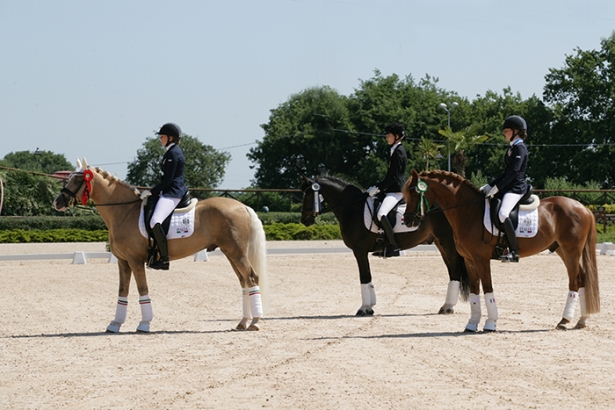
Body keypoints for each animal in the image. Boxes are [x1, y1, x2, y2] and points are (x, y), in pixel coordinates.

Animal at [50, 160, 268, 334]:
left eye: (77, 180)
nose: (57, 202)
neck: (124, 211)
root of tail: (242, 206)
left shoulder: (135, 260)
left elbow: (142, 289)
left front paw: (144, 324)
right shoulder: (122, 262)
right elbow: (123, 291)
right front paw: (115, 324)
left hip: (236, 253)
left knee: (251, 278)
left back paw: (255, 323)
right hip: (230, 253)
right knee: (243, 281)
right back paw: (243, 322)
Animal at [300, 175, 470, 316]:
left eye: (308, 195)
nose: (304, 220)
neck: (352, 208)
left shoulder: (359, 250)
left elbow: (364, 276)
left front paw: (364, 308)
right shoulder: (361, 251)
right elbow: (368, 277)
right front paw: (370, 306)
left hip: (447, 243)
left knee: (455, 271)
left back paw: (448, 307)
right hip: (441, 244)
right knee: (452, 272)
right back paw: (446, 306)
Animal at [402, 170, 600, 334]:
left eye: (415, 193)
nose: (408, 221)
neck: (468, 211)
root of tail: (583, 208)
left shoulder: (481, 259)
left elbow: (488, 289)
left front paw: (490, 324)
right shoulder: (469, 260)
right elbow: (475, 293)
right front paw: (471, 324)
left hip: (571, 251)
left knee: (575, 281)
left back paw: (564, 321)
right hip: (562, 250)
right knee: (582, 279)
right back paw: (581, 320)